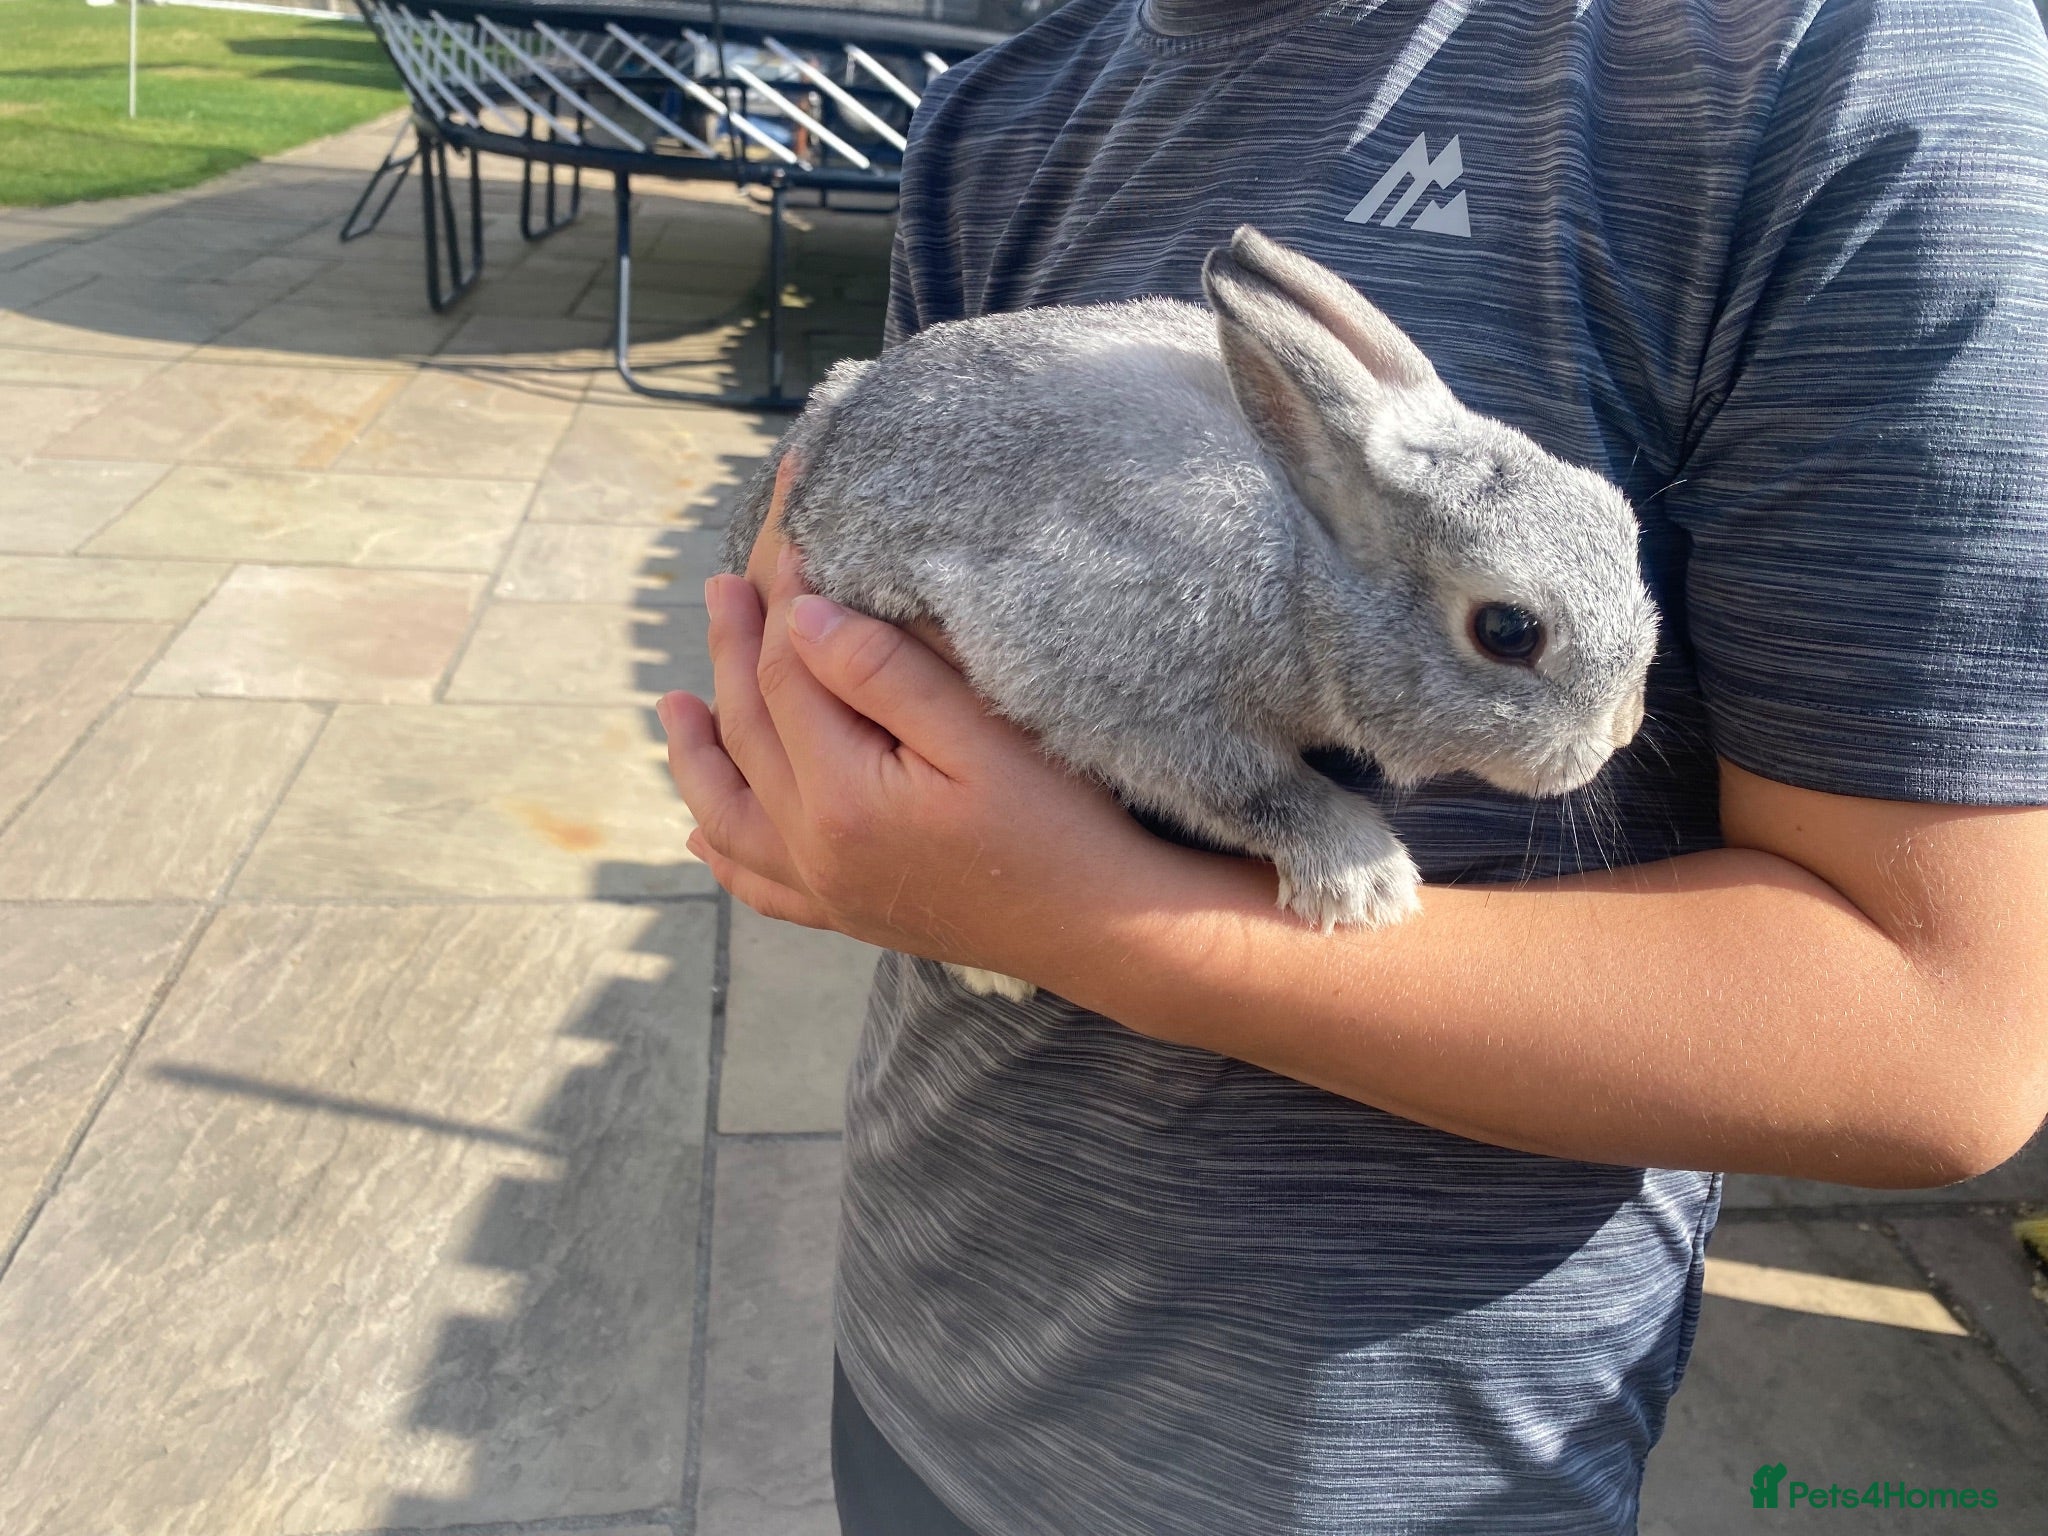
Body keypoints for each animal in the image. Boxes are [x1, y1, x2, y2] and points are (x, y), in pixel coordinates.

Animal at [719, 226, 1658, 1002]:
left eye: (1617, 512)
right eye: (1509, 631)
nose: (1619, 729)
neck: (1304, 563)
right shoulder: (1121, 683)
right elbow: (1253, 786)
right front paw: (1365, 882)